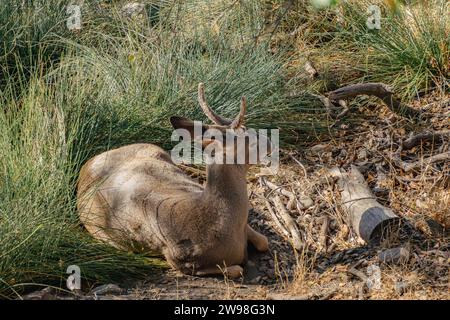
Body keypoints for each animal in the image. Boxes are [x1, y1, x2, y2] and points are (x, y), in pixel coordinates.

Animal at [75, 82, 268, 278]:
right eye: (249, 137)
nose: (269, 141)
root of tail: (87, 164)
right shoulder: (176, 258)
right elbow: (236, 269)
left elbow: (264, 241)